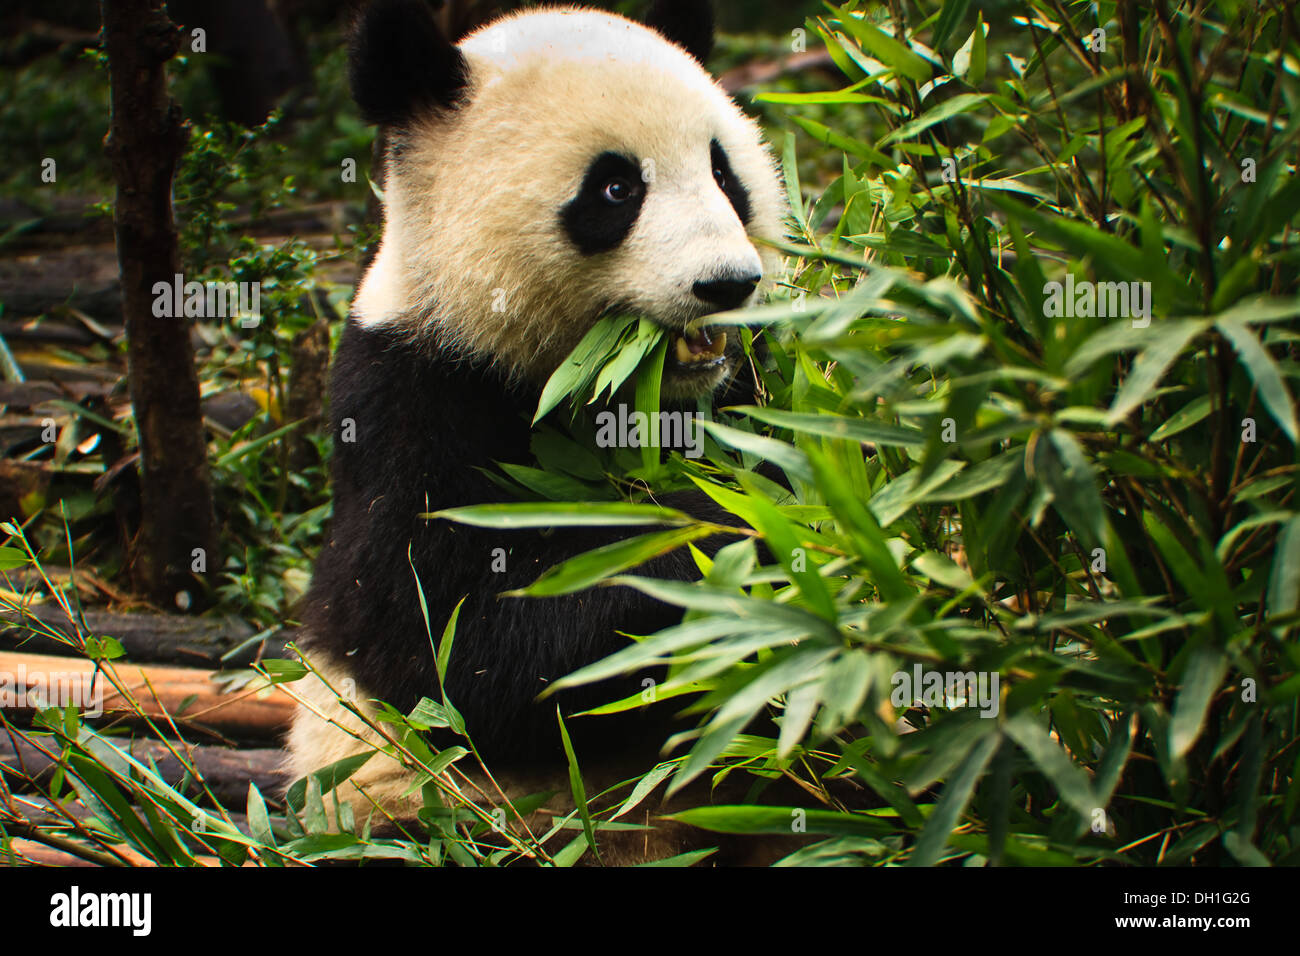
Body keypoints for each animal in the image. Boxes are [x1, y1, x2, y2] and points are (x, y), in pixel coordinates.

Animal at [287, 0, 780, 853]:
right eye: (616, 188)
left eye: (725, 173)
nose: (728, 284)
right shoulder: (409, 405)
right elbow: (452, 644)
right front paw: (723, 534)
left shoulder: (734, 385)